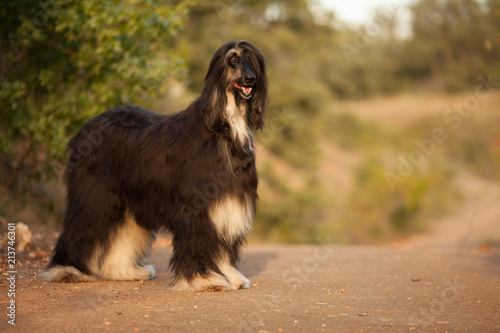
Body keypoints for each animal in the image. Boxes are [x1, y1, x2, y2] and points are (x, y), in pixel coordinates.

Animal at [41, 40, 268, 290]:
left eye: (251, 60)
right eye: (233, 59)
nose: (250, 79)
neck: (224, 126)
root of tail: (85, 127)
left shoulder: (228, 203)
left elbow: (222, 247)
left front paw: (229, 276)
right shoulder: (196, 204)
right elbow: (199, 239)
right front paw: (203, 279)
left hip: (129, 199)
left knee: (122, 234)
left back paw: (124, 271)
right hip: (94, 194)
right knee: (80, 225)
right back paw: (67, 269)